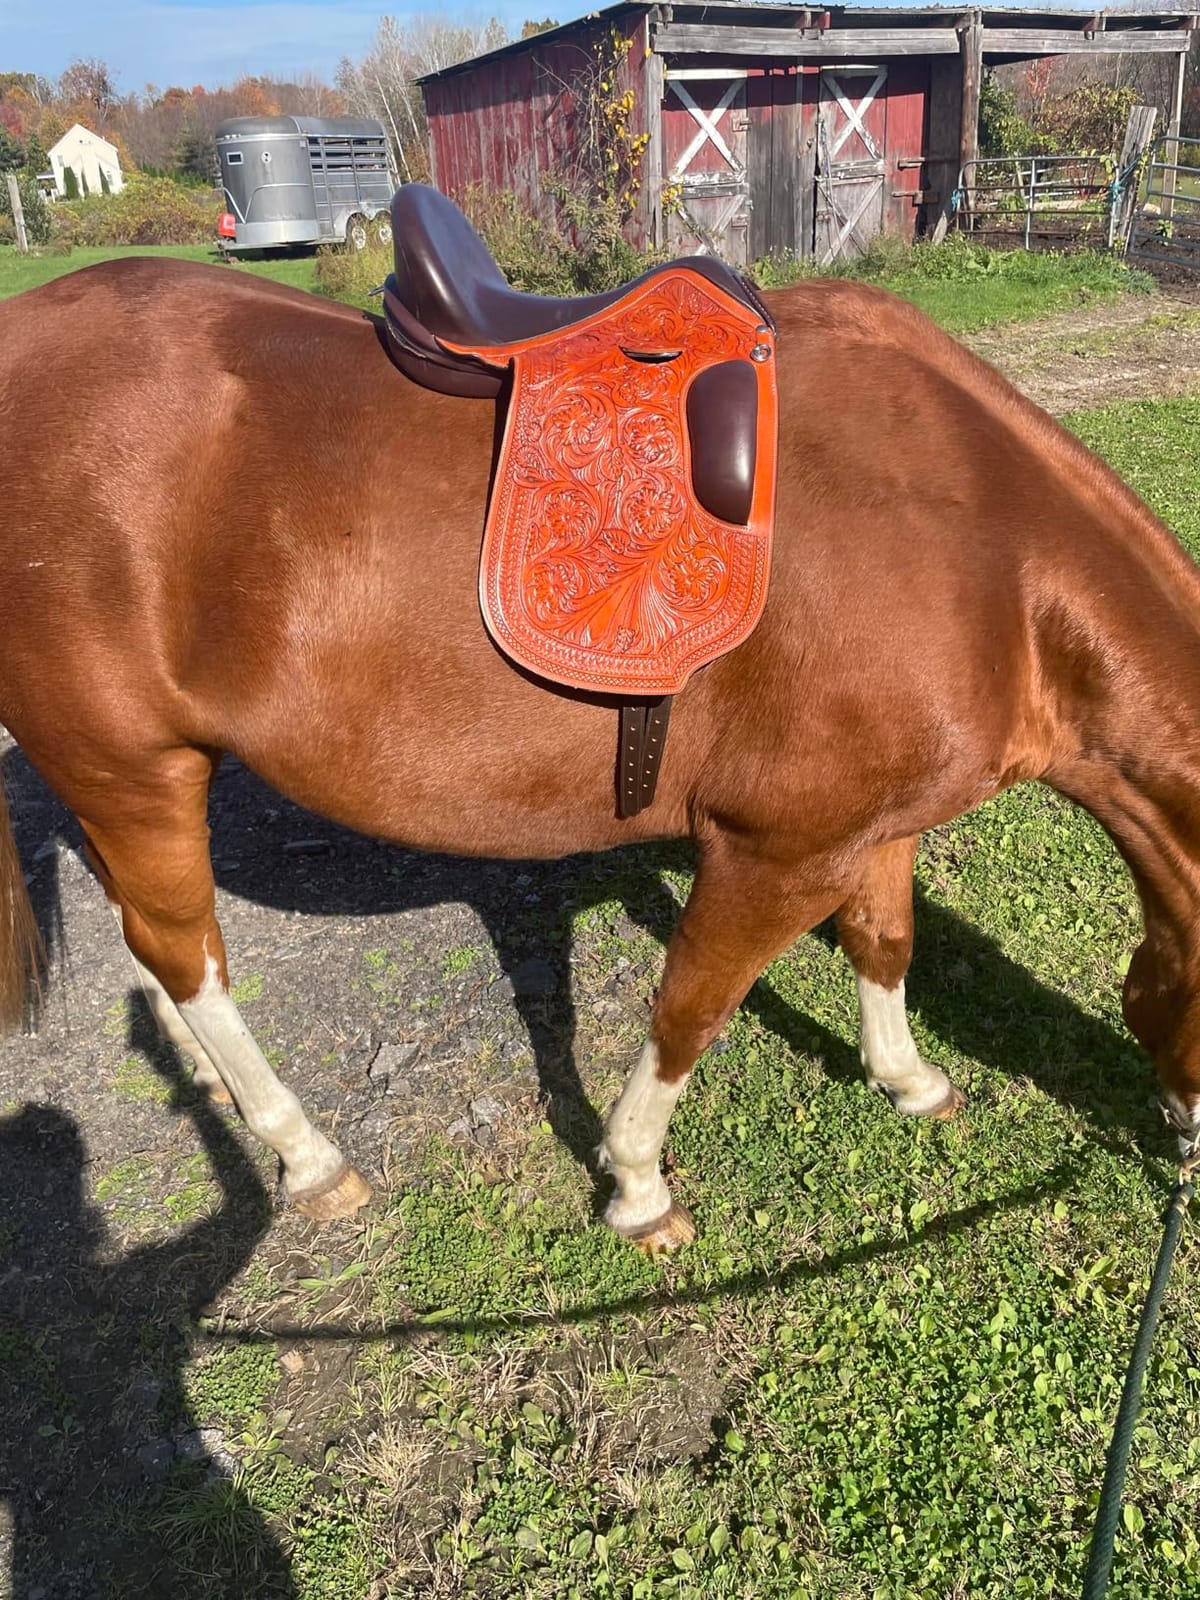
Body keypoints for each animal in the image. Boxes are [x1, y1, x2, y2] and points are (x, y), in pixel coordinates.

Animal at [2, 255, 1198, 1257]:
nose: (1183, 1146)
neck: (987, 555)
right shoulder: (774, 852)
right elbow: (690, 1012)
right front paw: (637, 1183)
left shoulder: (870, 826)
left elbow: (886, 941)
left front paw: (907, 1079)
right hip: (129, 769)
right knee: (182, 948)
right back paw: (305, 1153)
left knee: (152, 942)